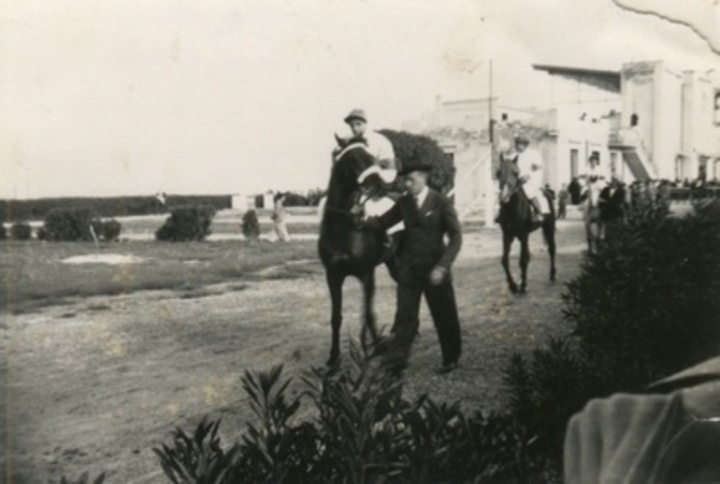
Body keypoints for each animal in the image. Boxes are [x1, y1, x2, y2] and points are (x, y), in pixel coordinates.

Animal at [318, 140, 394, 366]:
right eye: (354, 159)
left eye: (372, 157)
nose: (380, 184)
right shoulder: (333, 275)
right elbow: (336, 317)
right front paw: (333, 357)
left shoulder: (366, 274)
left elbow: (367, 314)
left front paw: (374, 347)